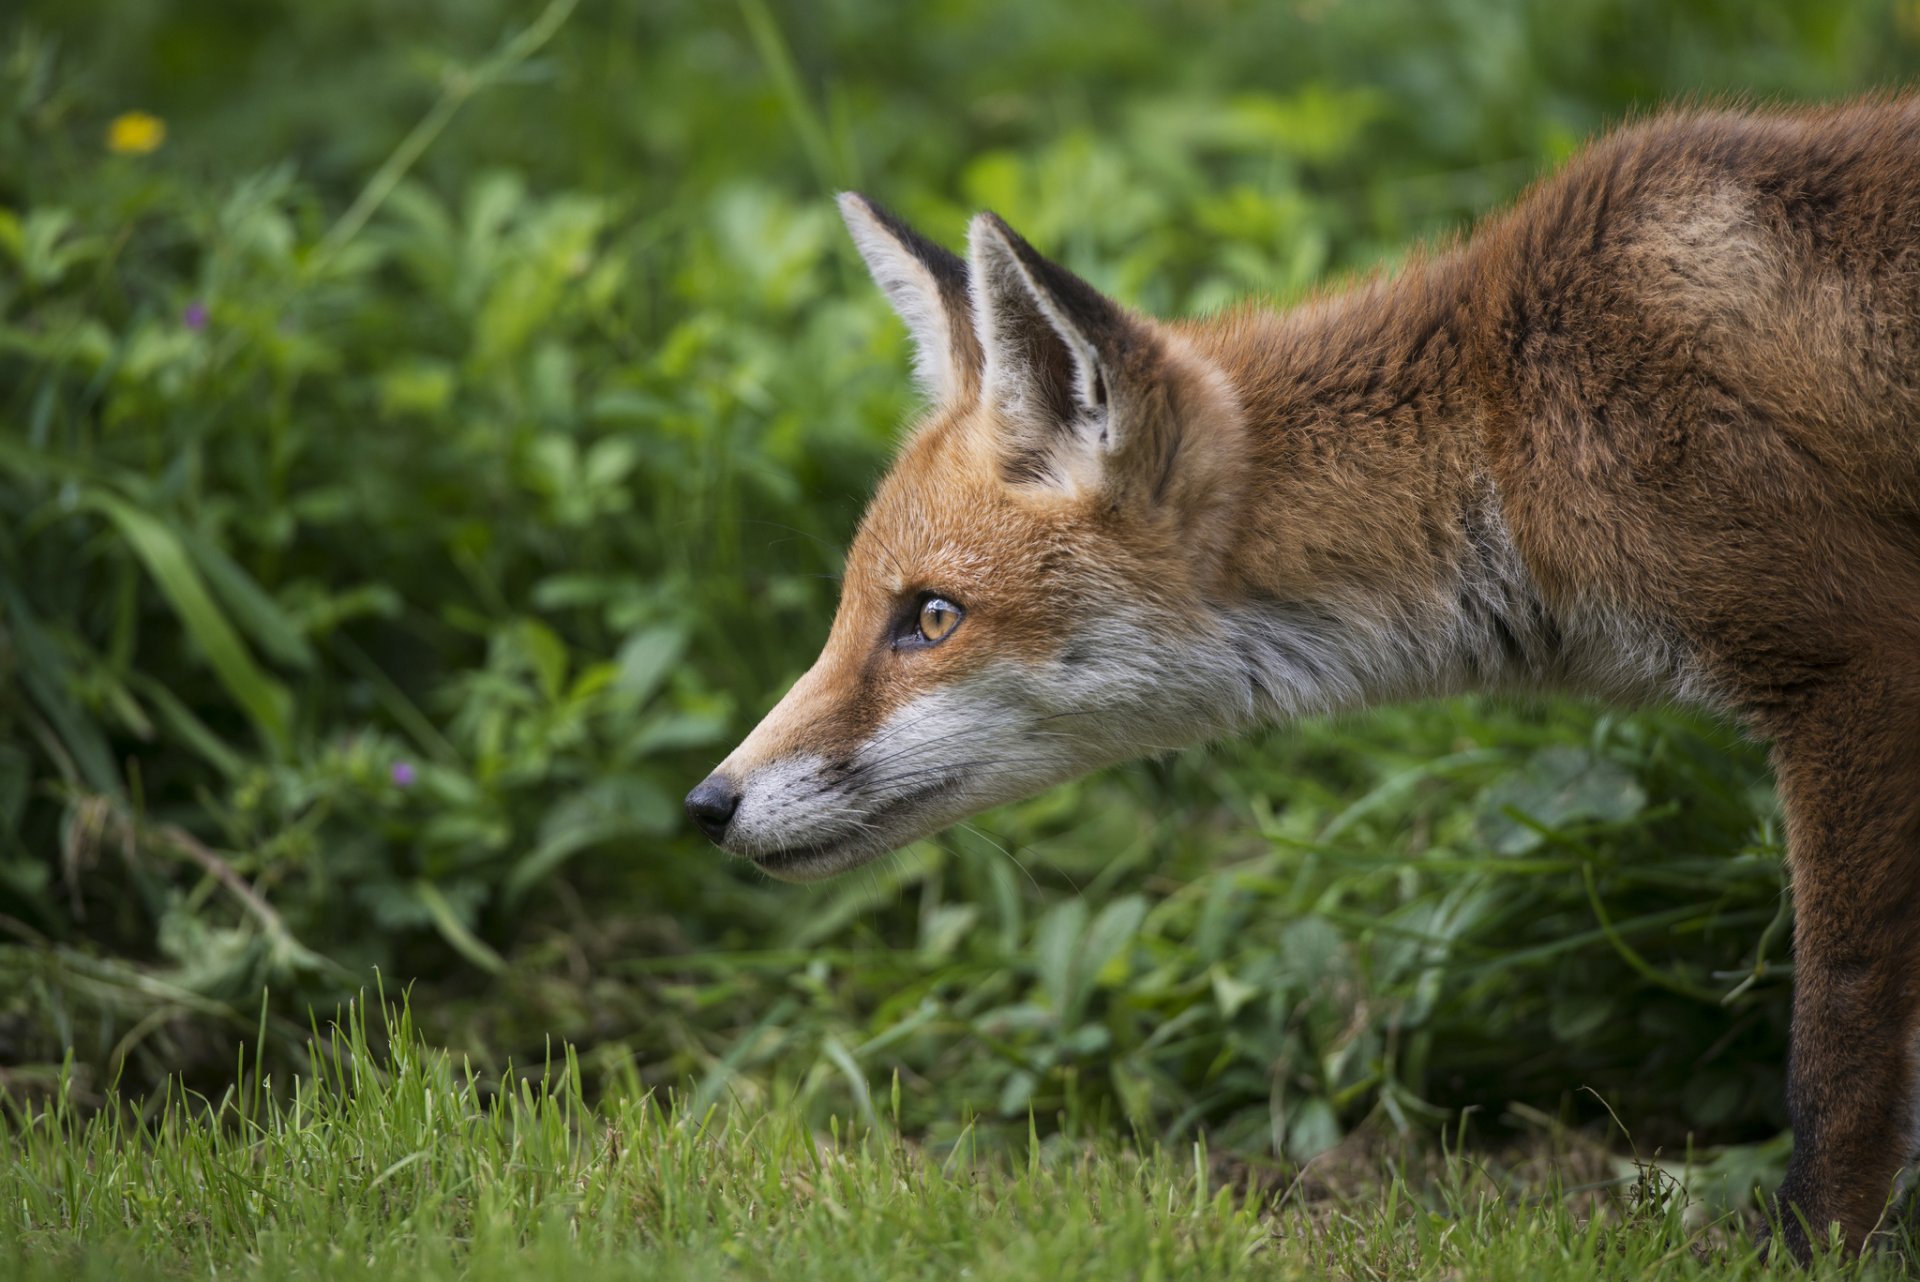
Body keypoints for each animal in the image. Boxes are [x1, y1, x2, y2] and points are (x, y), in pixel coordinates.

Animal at [685, 97, 1920, 1256]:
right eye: (857, 609)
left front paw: (1814, 1249)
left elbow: (1840, 1040)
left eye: (932, 617)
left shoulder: (1856, 659)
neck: (1508, 419)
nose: (706, 804)